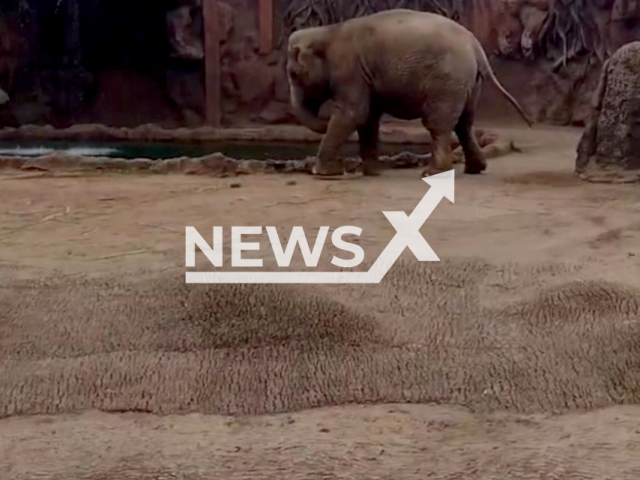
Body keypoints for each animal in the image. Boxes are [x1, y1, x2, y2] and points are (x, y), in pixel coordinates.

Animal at [288, 8, 532, 177]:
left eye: (293, 74)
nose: (324, 118)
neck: (328, 31)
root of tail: (475, 46)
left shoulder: (349, 69)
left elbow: (353, 113)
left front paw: (324, 174)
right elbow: (367, 118)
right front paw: (373, 173)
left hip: (446, 81)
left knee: (438, 123)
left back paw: (432, 173)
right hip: (470, 83)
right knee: (464, 123)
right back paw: (475, 169)